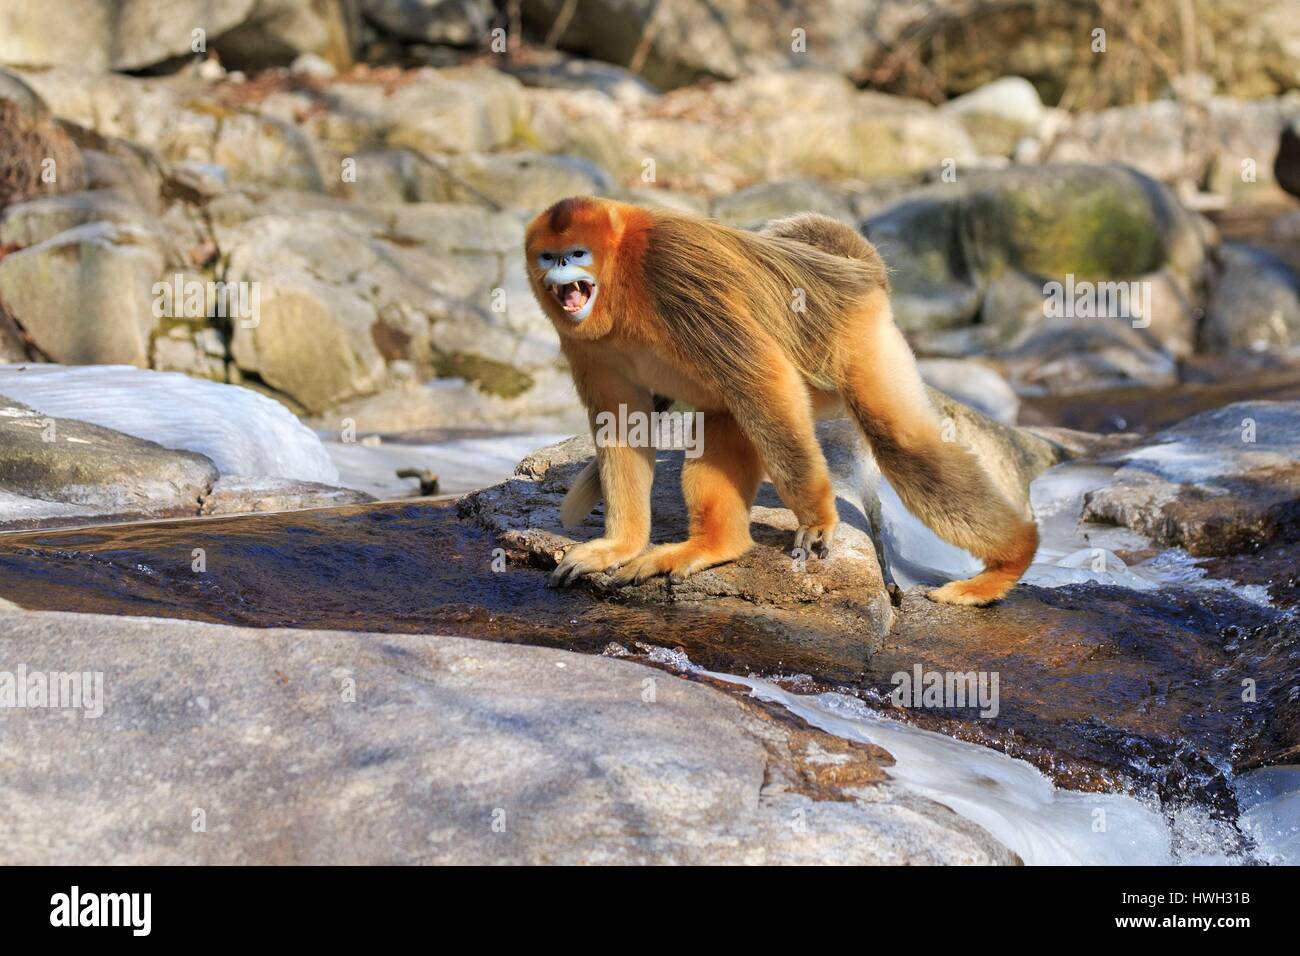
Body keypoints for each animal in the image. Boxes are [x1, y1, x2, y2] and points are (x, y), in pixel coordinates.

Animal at [523, 196, 1039, 606]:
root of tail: (852, 270)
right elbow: (623, 423)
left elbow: (765, 380)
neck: (621, 279)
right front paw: (620, 545)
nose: (560, 271)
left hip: (859, 339)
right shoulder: (584, 345)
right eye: (549, 256)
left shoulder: (671, 273)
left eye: (576, 254)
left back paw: (1010, 562)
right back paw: (716, 546)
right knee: (727, 414)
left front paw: (818, 517)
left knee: (897, 444)